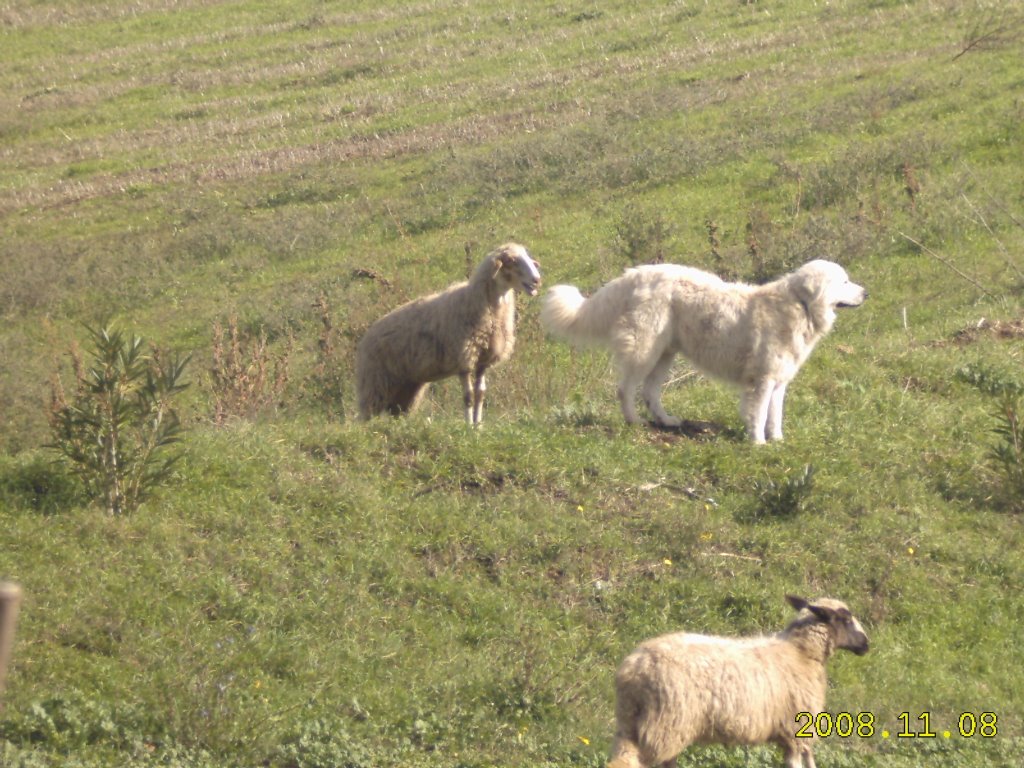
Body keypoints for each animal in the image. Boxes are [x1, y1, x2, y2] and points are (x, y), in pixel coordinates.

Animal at [354, 243, 540, 428]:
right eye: (511, 261)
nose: (537, 280)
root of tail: (366, 337)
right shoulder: (464, 359)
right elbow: (469, 397)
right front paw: (468, 426)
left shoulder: (483, 361)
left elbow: (480, 394)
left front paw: (478, 425)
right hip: (375, 383)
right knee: (367, 413)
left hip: (408, 386)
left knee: (398, 412)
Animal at [540, 262, 868, 442]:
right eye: (844, 281)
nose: (866, 293)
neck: (799, 306)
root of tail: (634, 274)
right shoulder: (762, 380)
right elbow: (760, 413)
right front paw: (758, 443)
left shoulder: (778, 382)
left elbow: (775, 415)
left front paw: (777, 440)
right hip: (644, 350)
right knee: (626, 389)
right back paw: (634, 421)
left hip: (665, 354)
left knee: (650, 391)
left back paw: (666, 420)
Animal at [610, 593, 868, 768]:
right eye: (845, 619)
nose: (866, 644)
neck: (801, 653)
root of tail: (635, 668)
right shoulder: (795, 728)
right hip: (666, 726)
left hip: (631, 722)